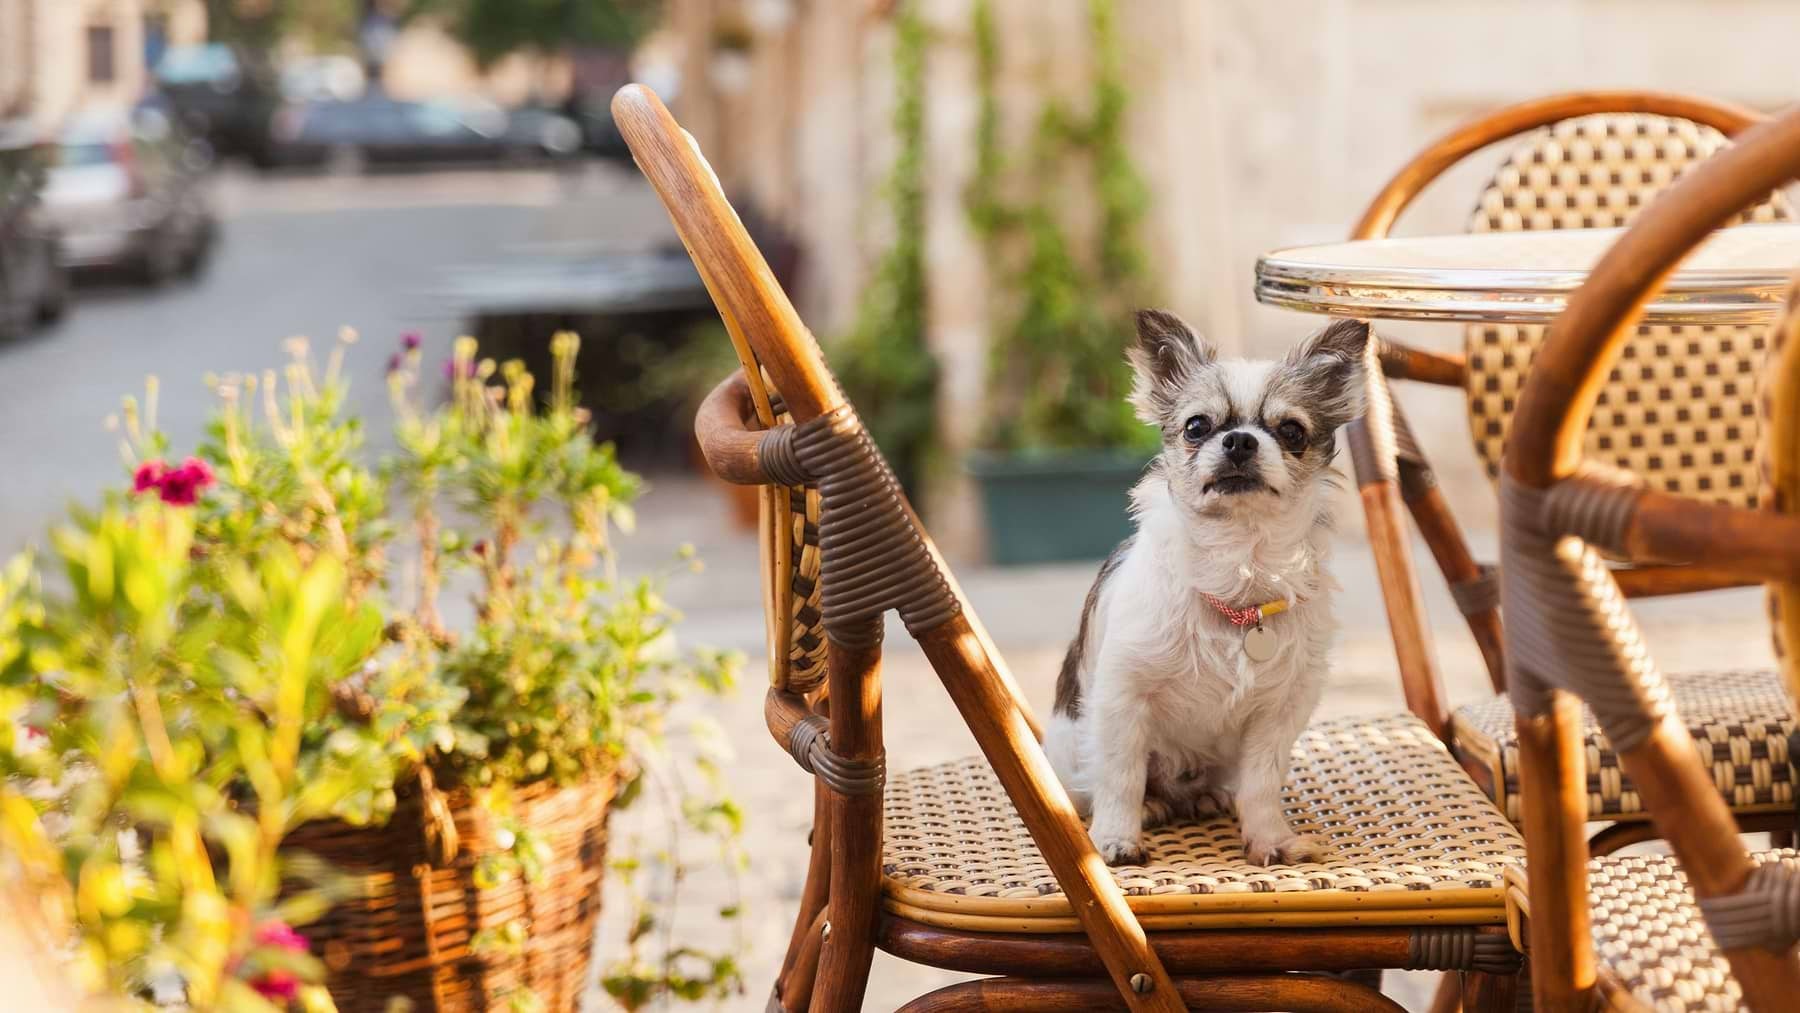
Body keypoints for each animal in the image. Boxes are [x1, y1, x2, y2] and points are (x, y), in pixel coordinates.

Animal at [1044, 309, 1360, 863]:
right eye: (1197, 426)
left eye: (1292, 431)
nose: (1239, 440)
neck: (1239, 570)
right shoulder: (1123, 698)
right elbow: (1121, 776)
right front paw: (1116, 839)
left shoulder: (1281, 712)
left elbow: (1261, 784)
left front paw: (1270, 839)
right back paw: (1152, 806)